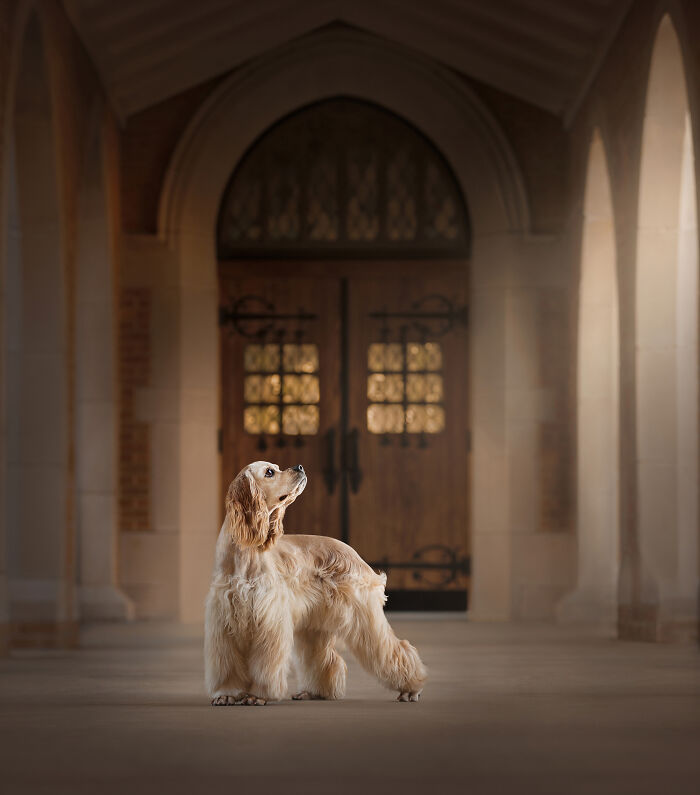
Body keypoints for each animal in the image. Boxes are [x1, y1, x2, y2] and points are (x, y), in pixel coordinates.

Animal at [204, 464, 426, 704]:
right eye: (270, 472)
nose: (299, 467)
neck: (245, 553)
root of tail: (352, 552)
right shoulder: (223, 625)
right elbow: (227, 666)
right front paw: (227, 694)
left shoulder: (269, 622)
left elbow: (265, 665)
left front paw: (257, 696)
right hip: (314, 627)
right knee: (324, 660)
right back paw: (313, 692)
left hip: (365, 618)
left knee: (396, 650)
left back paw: (411, 688)